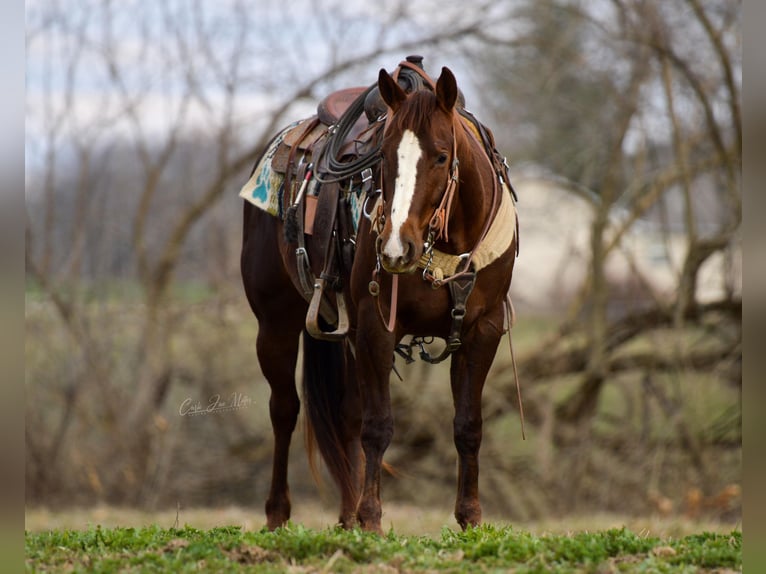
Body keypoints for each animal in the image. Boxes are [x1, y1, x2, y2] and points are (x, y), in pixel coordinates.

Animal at [243, 63, 520, 536]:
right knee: (285, 410)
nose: (395, 249)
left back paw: (346, 516)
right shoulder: (376, 327)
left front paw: (470, 518)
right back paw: (279, 514)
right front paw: (372, 519)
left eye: (441, 156)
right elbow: (378, 426)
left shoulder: (482, 330)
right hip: (275, 324)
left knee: (346, 415)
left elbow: (468, 425)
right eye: (385, 158)